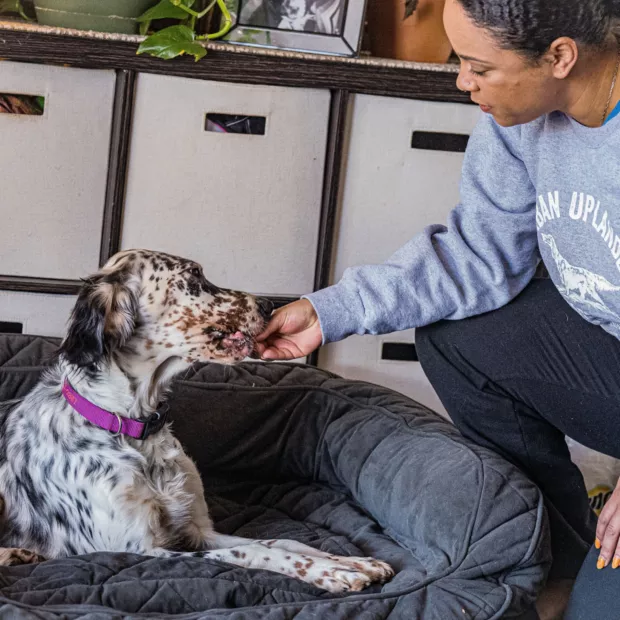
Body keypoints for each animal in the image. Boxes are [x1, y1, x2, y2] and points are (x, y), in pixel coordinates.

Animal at [0, 251, 392, 592]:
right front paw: (331, 573)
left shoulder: (196, 529)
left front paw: (349, 562)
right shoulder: (139, 549)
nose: (269, 306)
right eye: (193, 278)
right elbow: (253, 551)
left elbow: (281, 541)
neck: (131, 428)